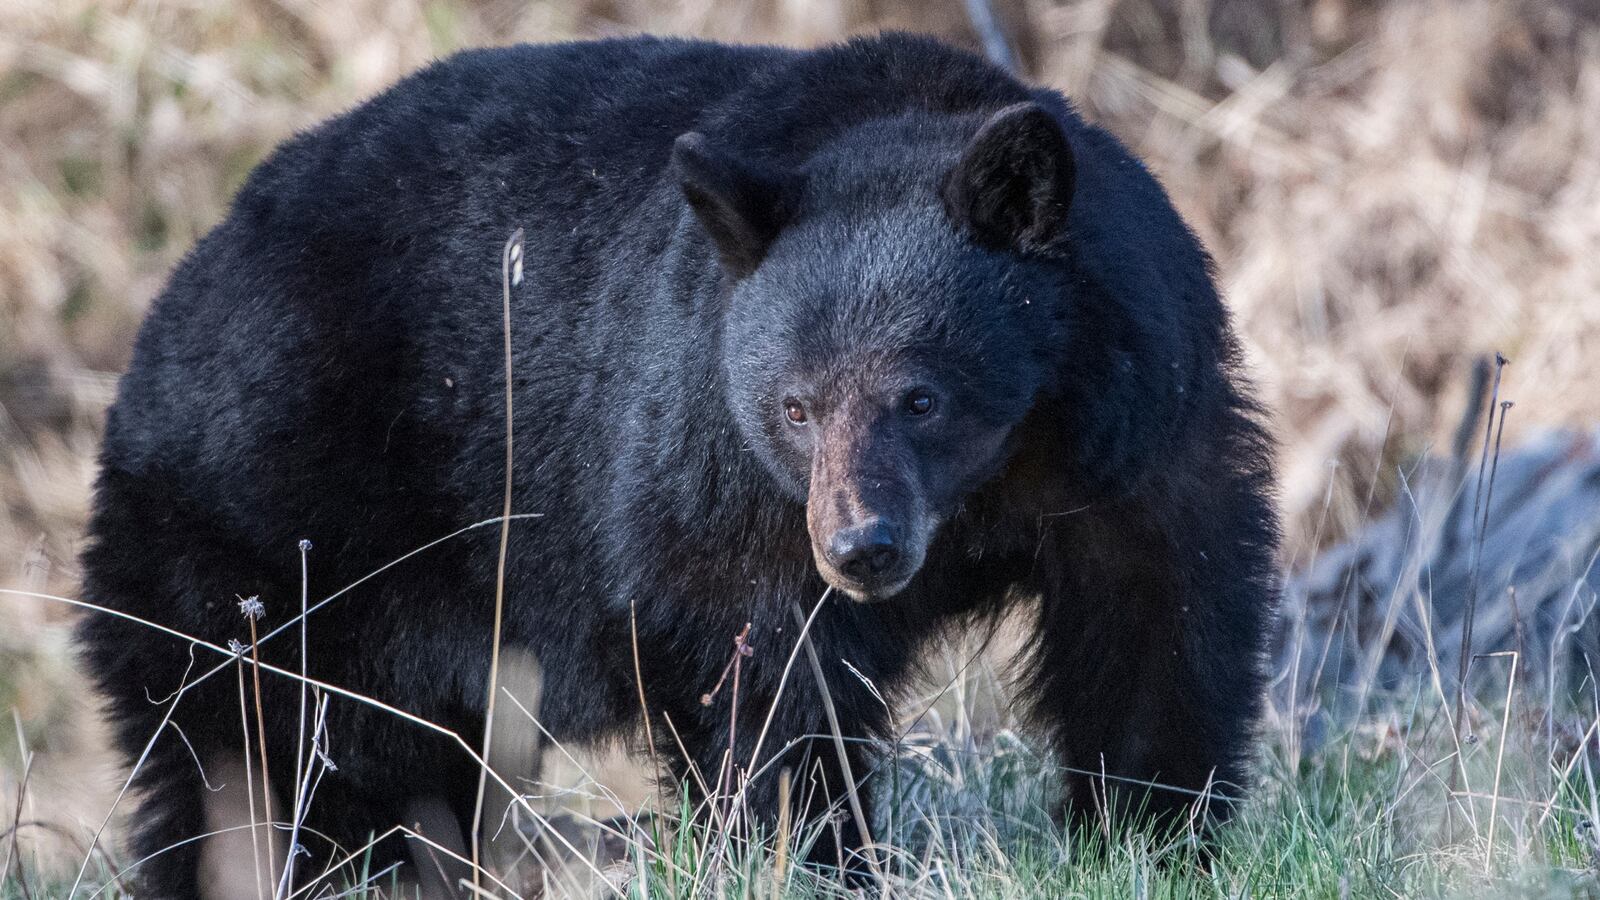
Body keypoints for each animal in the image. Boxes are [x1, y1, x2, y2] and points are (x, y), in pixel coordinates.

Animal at [77, 32, 1279, 898]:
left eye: (920, 396)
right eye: (794, 406)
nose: (863, 550)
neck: (996, 481)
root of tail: (172, 306)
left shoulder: (1139, 433)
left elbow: (1158, 626)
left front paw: (1154, 837)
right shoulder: (715, 468)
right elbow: (770, 675)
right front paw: (811, 855)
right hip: (272, 541)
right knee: (260, 755)